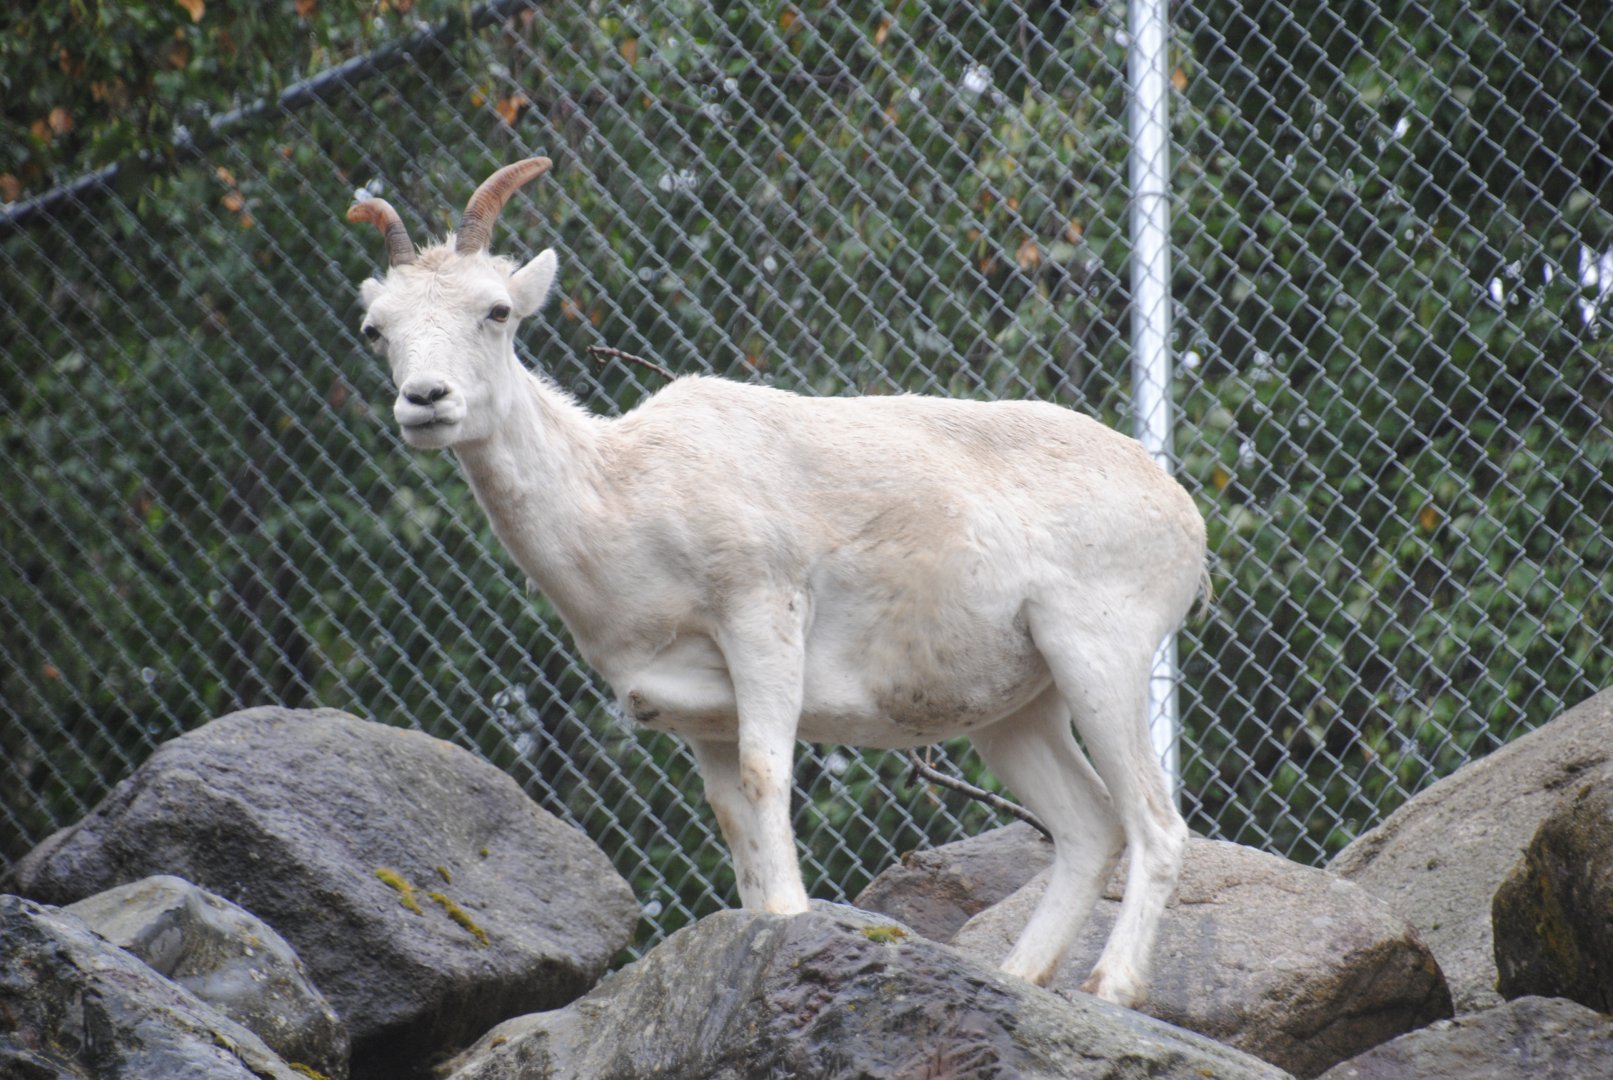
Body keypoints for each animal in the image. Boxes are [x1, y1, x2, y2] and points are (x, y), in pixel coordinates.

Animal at [347, 158, 1208, 1007]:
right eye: (376, 329)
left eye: (496, 310)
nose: (425, 401)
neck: (624, 502)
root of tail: (1179, 511)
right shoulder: (697, 714)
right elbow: (732, 816)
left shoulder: (760, 618)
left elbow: (768, 775)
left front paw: (791, 919)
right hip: (1019, 713)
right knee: (1089, 827)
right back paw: (1020, 979)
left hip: (1096, 655)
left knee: (1154, 823)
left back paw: (1108, 987)